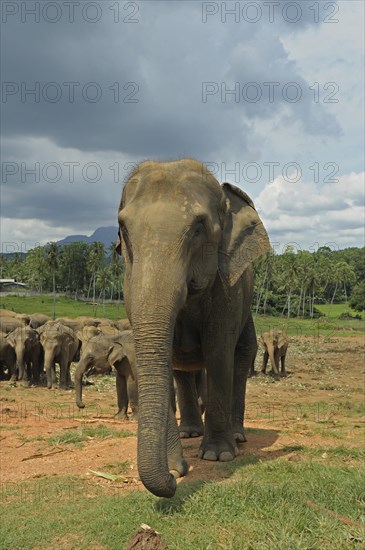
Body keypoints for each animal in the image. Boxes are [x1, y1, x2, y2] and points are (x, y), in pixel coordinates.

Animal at [116, 157, 270, 498]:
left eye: (198, 228)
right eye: (124, 230)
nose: (176, 478)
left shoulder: (228, 288)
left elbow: (218, 350)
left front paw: (217, 455)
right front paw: (177, 464)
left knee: (240, 357)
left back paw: (236, 437)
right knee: (181, 371)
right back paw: (189, 432)